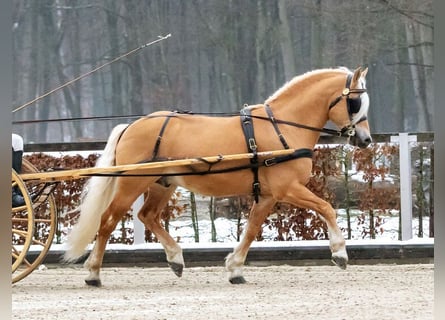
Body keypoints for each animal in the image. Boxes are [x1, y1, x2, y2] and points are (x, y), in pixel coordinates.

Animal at [64, 65, 370, 284]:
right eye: (355, 102)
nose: (365, 140)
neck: (282, 127)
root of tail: (131, 126)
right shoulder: (288, 188)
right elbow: (326, 207)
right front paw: (339, 252)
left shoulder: (268, 196)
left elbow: (251, 229)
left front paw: (235, 268)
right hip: (131, 185)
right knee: (107, 221)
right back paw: (93, 273)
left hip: (163, 184)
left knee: (147, 215)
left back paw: (175, 259)